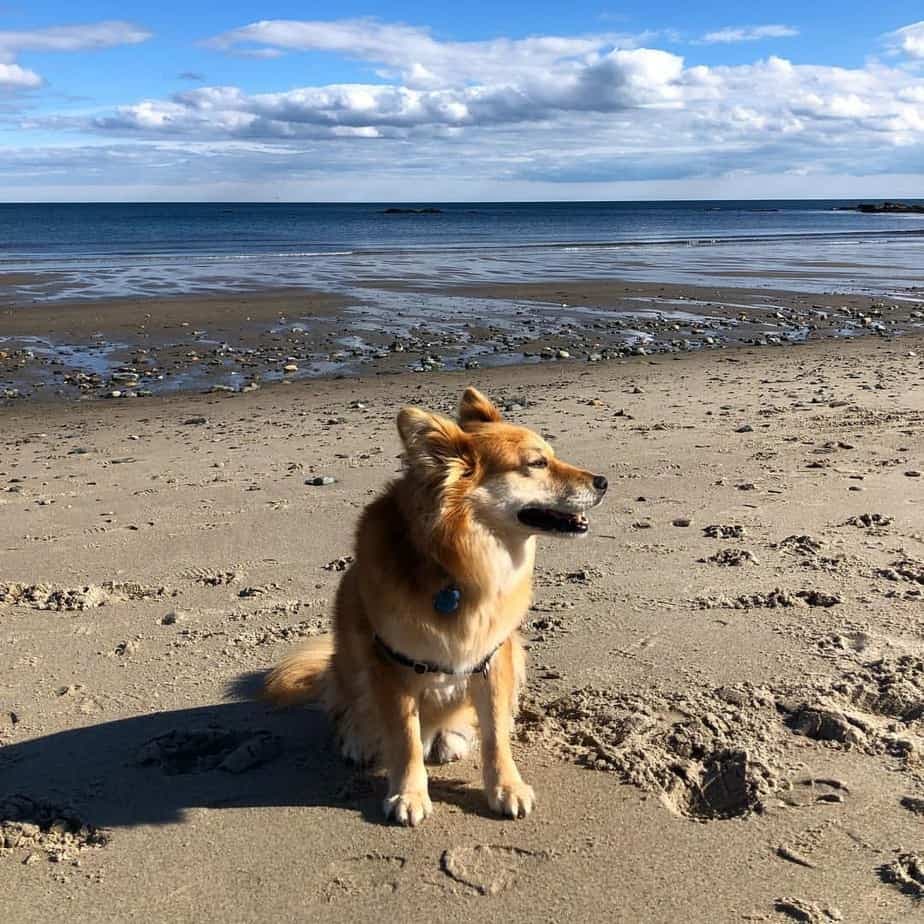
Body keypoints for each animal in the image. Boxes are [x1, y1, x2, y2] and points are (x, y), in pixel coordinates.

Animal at [264, 386, 608, 828]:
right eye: (536, 463)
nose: (603, 482)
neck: (458, 565)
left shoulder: (493, 660)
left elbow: (496, 735)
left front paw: (506, 786)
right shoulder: (390, 666)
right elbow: (405, 739)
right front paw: (409, 794)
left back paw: (450, 737)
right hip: (348, 655)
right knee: (348, 704)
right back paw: (359, 737)